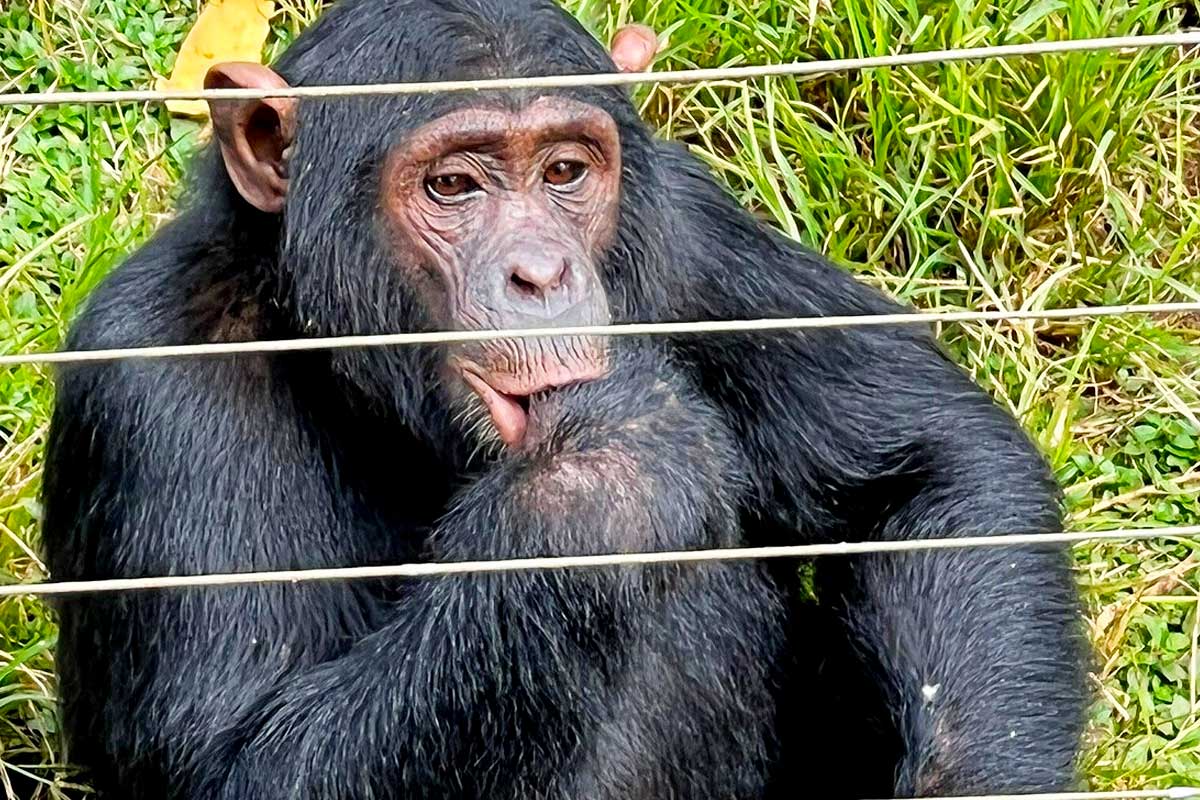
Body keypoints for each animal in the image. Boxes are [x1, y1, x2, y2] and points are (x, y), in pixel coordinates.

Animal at [39, 0, 1089, 796]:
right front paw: (604, 475)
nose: (542, 272)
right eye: (453, 185)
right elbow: (231, 758)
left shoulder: (690, 229)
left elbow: (925, 466)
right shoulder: (155, 383)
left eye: (565, 171)